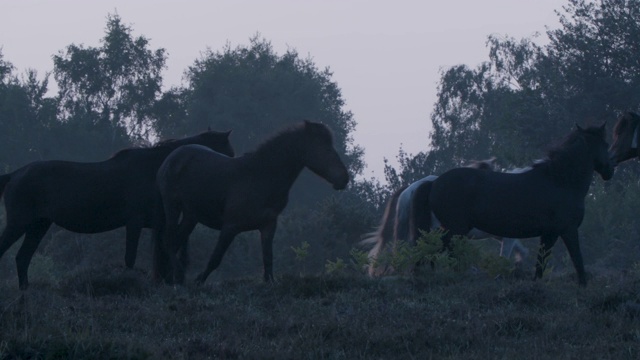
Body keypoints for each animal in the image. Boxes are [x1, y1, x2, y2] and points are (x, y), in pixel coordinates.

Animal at [0, 129, 235, 290]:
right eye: (227, 152)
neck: (156, 169)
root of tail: (15, 174)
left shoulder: (158, 224)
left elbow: (165, 251)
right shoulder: (135, 223)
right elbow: (131, 257)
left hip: (38, 226)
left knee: (22, 257)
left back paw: (25, 290)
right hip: (18, 223)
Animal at [153, 121, 350, 284]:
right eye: (324, 148)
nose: (344, 178)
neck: (259, 176)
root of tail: (173, 156)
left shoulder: (268, 226)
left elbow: (268, 258)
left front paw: (269, 282)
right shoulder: (230, 226)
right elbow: (215, 258)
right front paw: (198, 281)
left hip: (191, 216)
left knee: (175, 241)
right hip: (173, 207)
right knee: (169, 240)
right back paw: (177, 276)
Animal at [422, 124, 612, 286]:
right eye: (606, 144)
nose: (609, 171)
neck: (559, 182)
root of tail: (435, 182)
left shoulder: (549, 234)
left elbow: (540, 264)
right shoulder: (568, 230)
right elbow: (577, 259)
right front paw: (583, 286)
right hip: (455, 230)